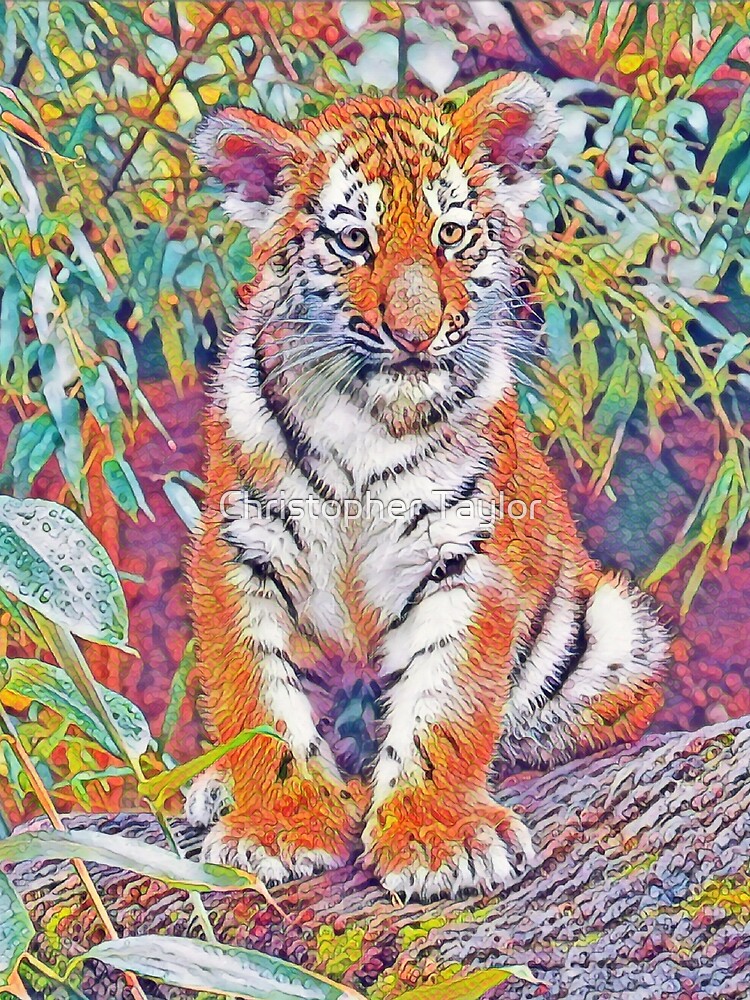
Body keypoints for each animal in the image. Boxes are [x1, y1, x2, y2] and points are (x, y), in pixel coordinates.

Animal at [184, 73, 670, 902]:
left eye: (450, 234)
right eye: (354, 241)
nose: (416, 332)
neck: (364, 415)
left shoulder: (467, 560)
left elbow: (445, 704)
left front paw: (442, 841)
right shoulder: (242, 556)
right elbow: (262, 700)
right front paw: (279, 827)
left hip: (612, 627)